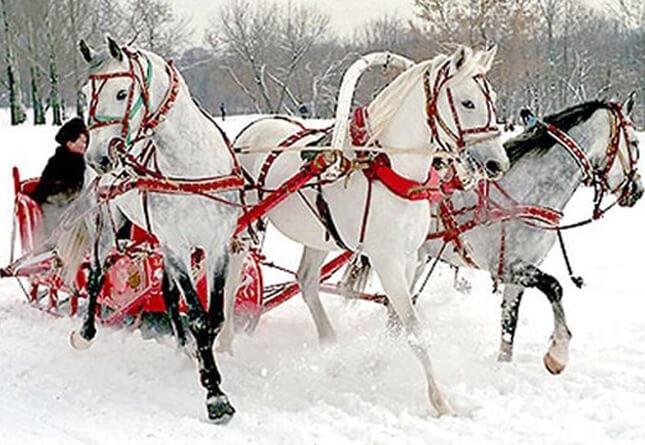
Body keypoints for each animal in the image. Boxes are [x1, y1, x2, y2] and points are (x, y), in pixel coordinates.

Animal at [71, 37, 242, 420]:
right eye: (84, 94)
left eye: (121, 93)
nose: (98, 158)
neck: (190, 169)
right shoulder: (175, 244)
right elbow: (198, 317)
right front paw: (214, 393)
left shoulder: (216, 243)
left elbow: (213, 316)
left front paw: (205, 368)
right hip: (107, 226)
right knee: (96, 276)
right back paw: (86, 332)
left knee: (166, 292)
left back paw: (182, 347)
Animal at [231, 45, 508, 412]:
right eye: (467, 102)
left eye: (493, 99)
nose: (498, 164)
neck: (391, 171)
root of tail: (248, 132)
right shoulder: (385, 259)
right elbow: (414, 328)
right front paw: (439, 398)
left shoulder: (410, 257)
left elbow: (396, 319)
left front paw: (377, 363)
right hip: (244, 224)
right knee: (233, 274)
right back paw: (223, 341)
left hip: (317, 237)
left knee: (306, 281)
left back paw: (330, 345)